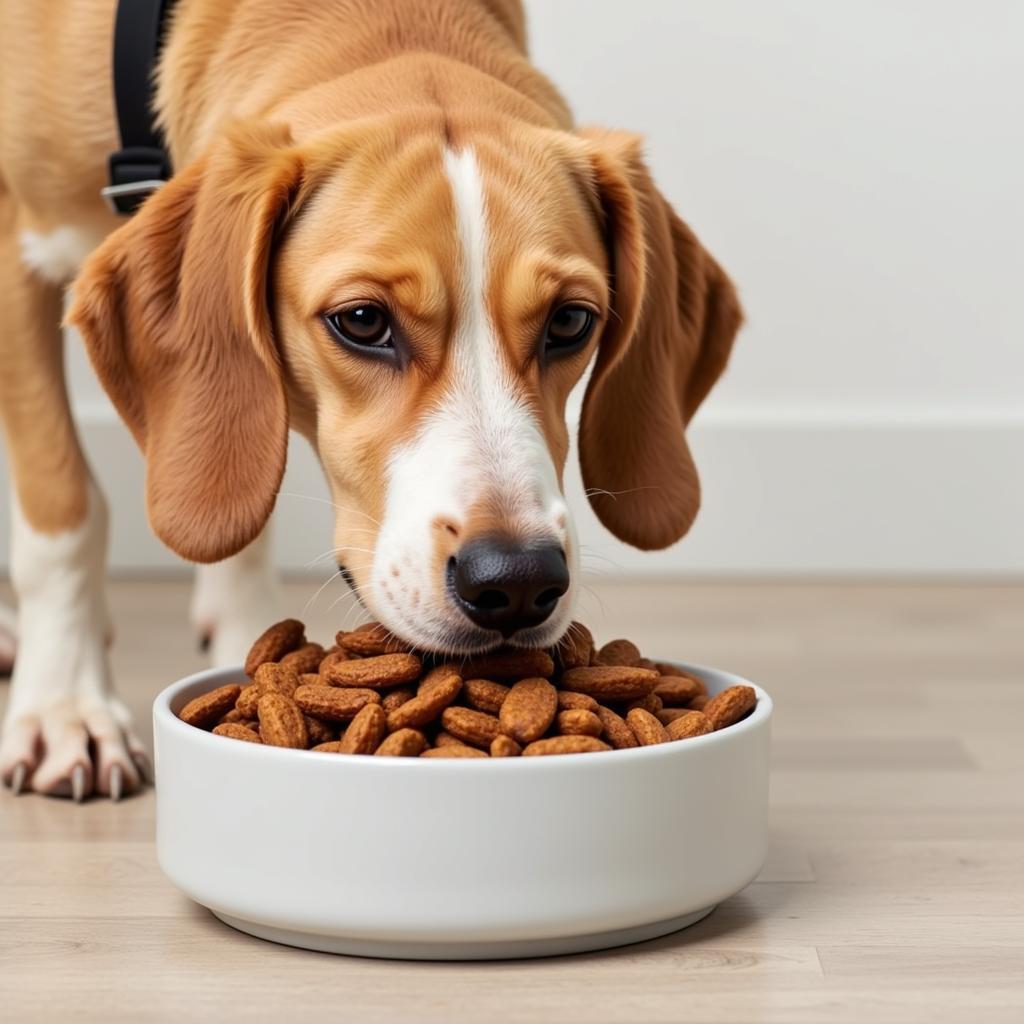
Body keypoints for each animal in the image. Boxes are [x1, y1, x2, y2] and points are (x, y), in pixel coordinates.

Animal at [0, 0, 741, 798]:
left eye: (571, 321)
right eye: (362, 321)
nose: (516, 583)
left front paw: (243, 634)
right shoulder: (15, 252)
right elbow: (66, 511)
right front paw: (66, 705)